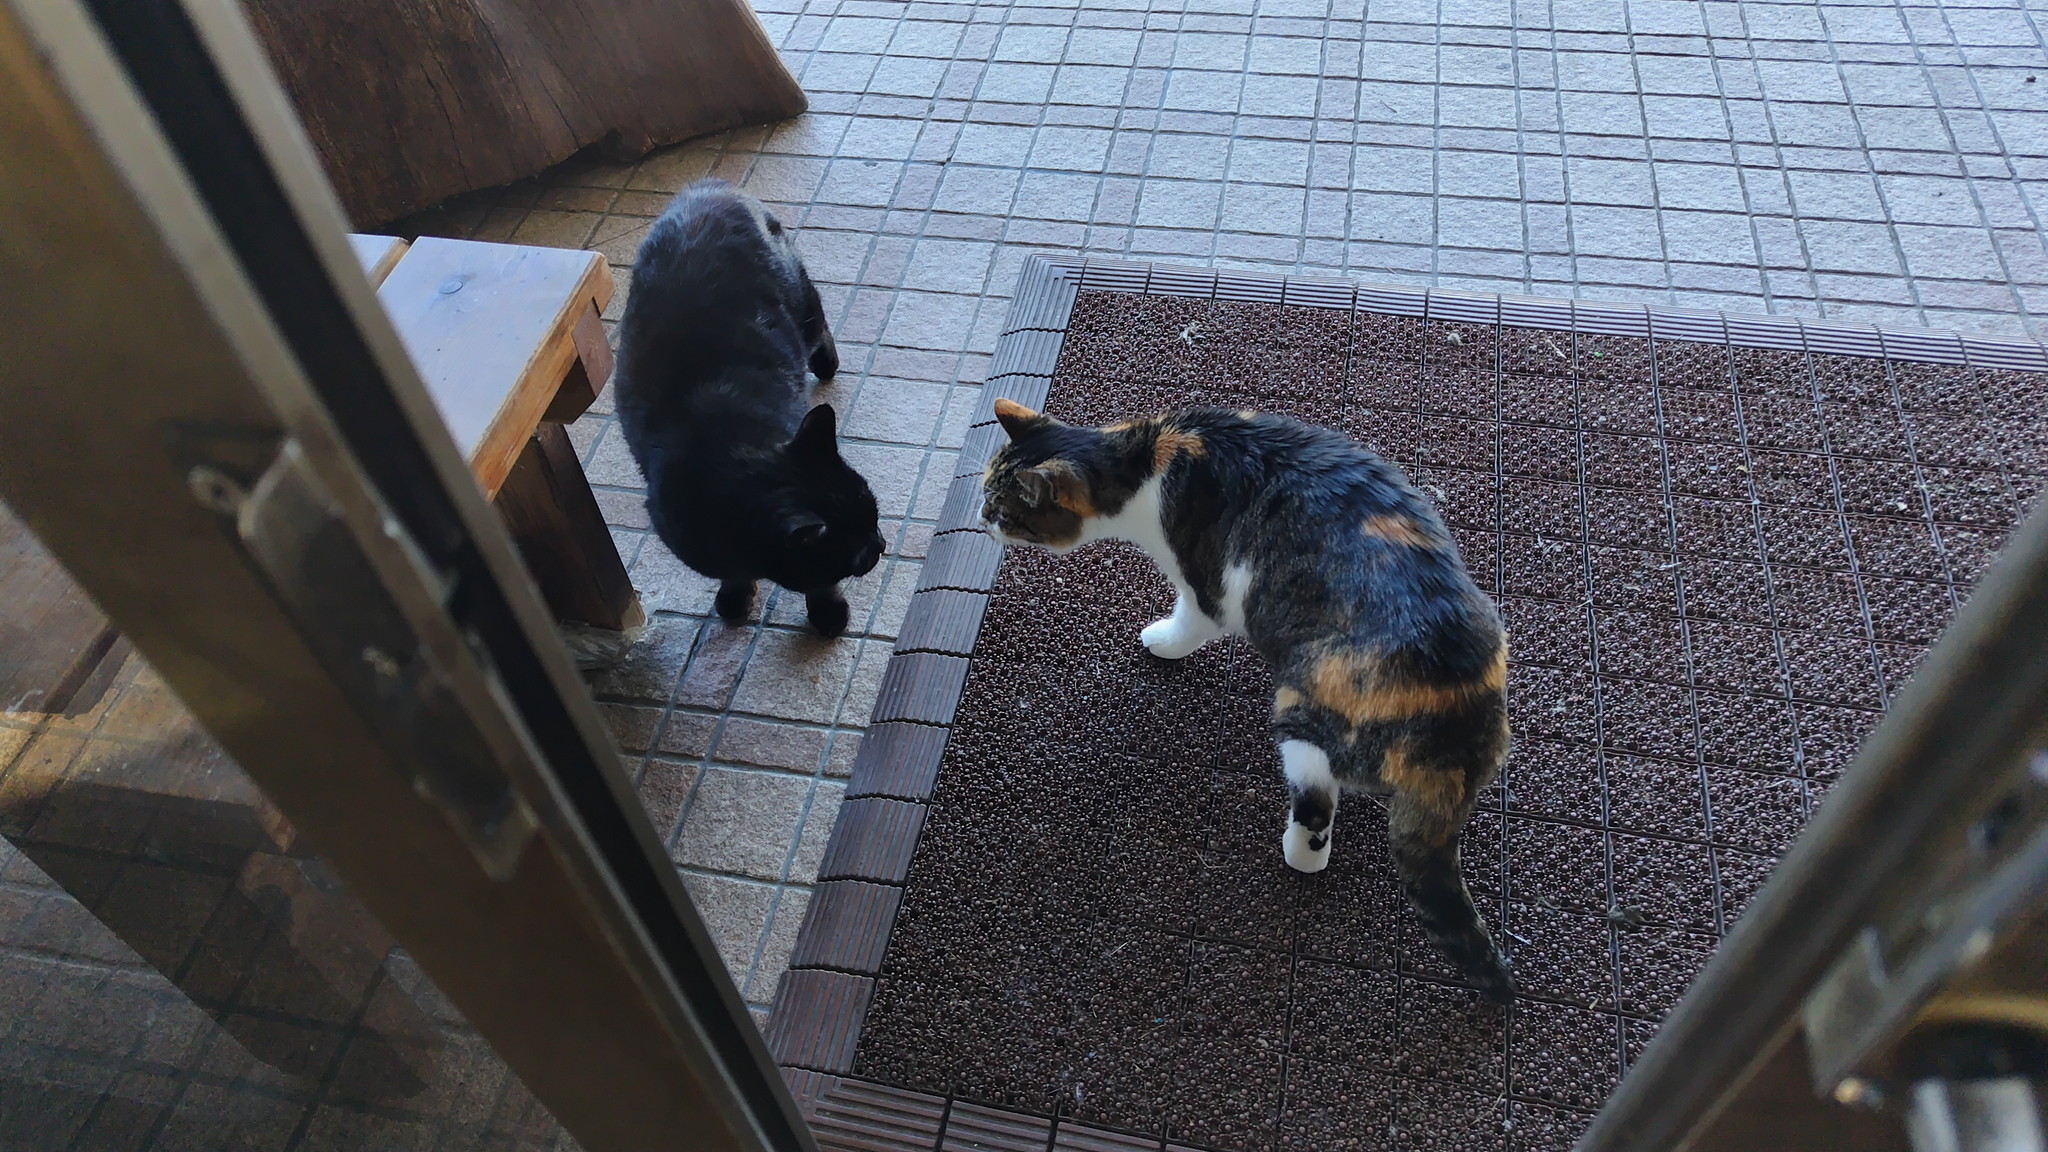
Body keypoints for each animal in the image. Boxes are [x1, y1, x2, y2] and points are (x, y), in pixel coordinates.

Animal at [613, 179, 885, 637]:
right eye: (859, 547)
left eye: (875, 516)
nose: (882, 544)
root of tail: (708, 189)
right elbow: (734, 573)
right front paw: (736, 595)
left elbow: (820, 584)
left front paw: (828, 611)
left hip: (799, 296)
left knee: (819, 328)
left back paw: (826, 364)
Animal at [981, 400, 1514, 1000]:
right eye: (984, 492)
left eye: (1003, 509)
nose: (979, 515)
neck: (1147, 458)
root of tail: (1448, 716)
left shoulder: (1205, 585)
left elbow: (1189, 621)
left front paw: (1162, 641)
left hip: (1300, 712)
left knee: (1315, 805)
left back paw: (1301, 854)